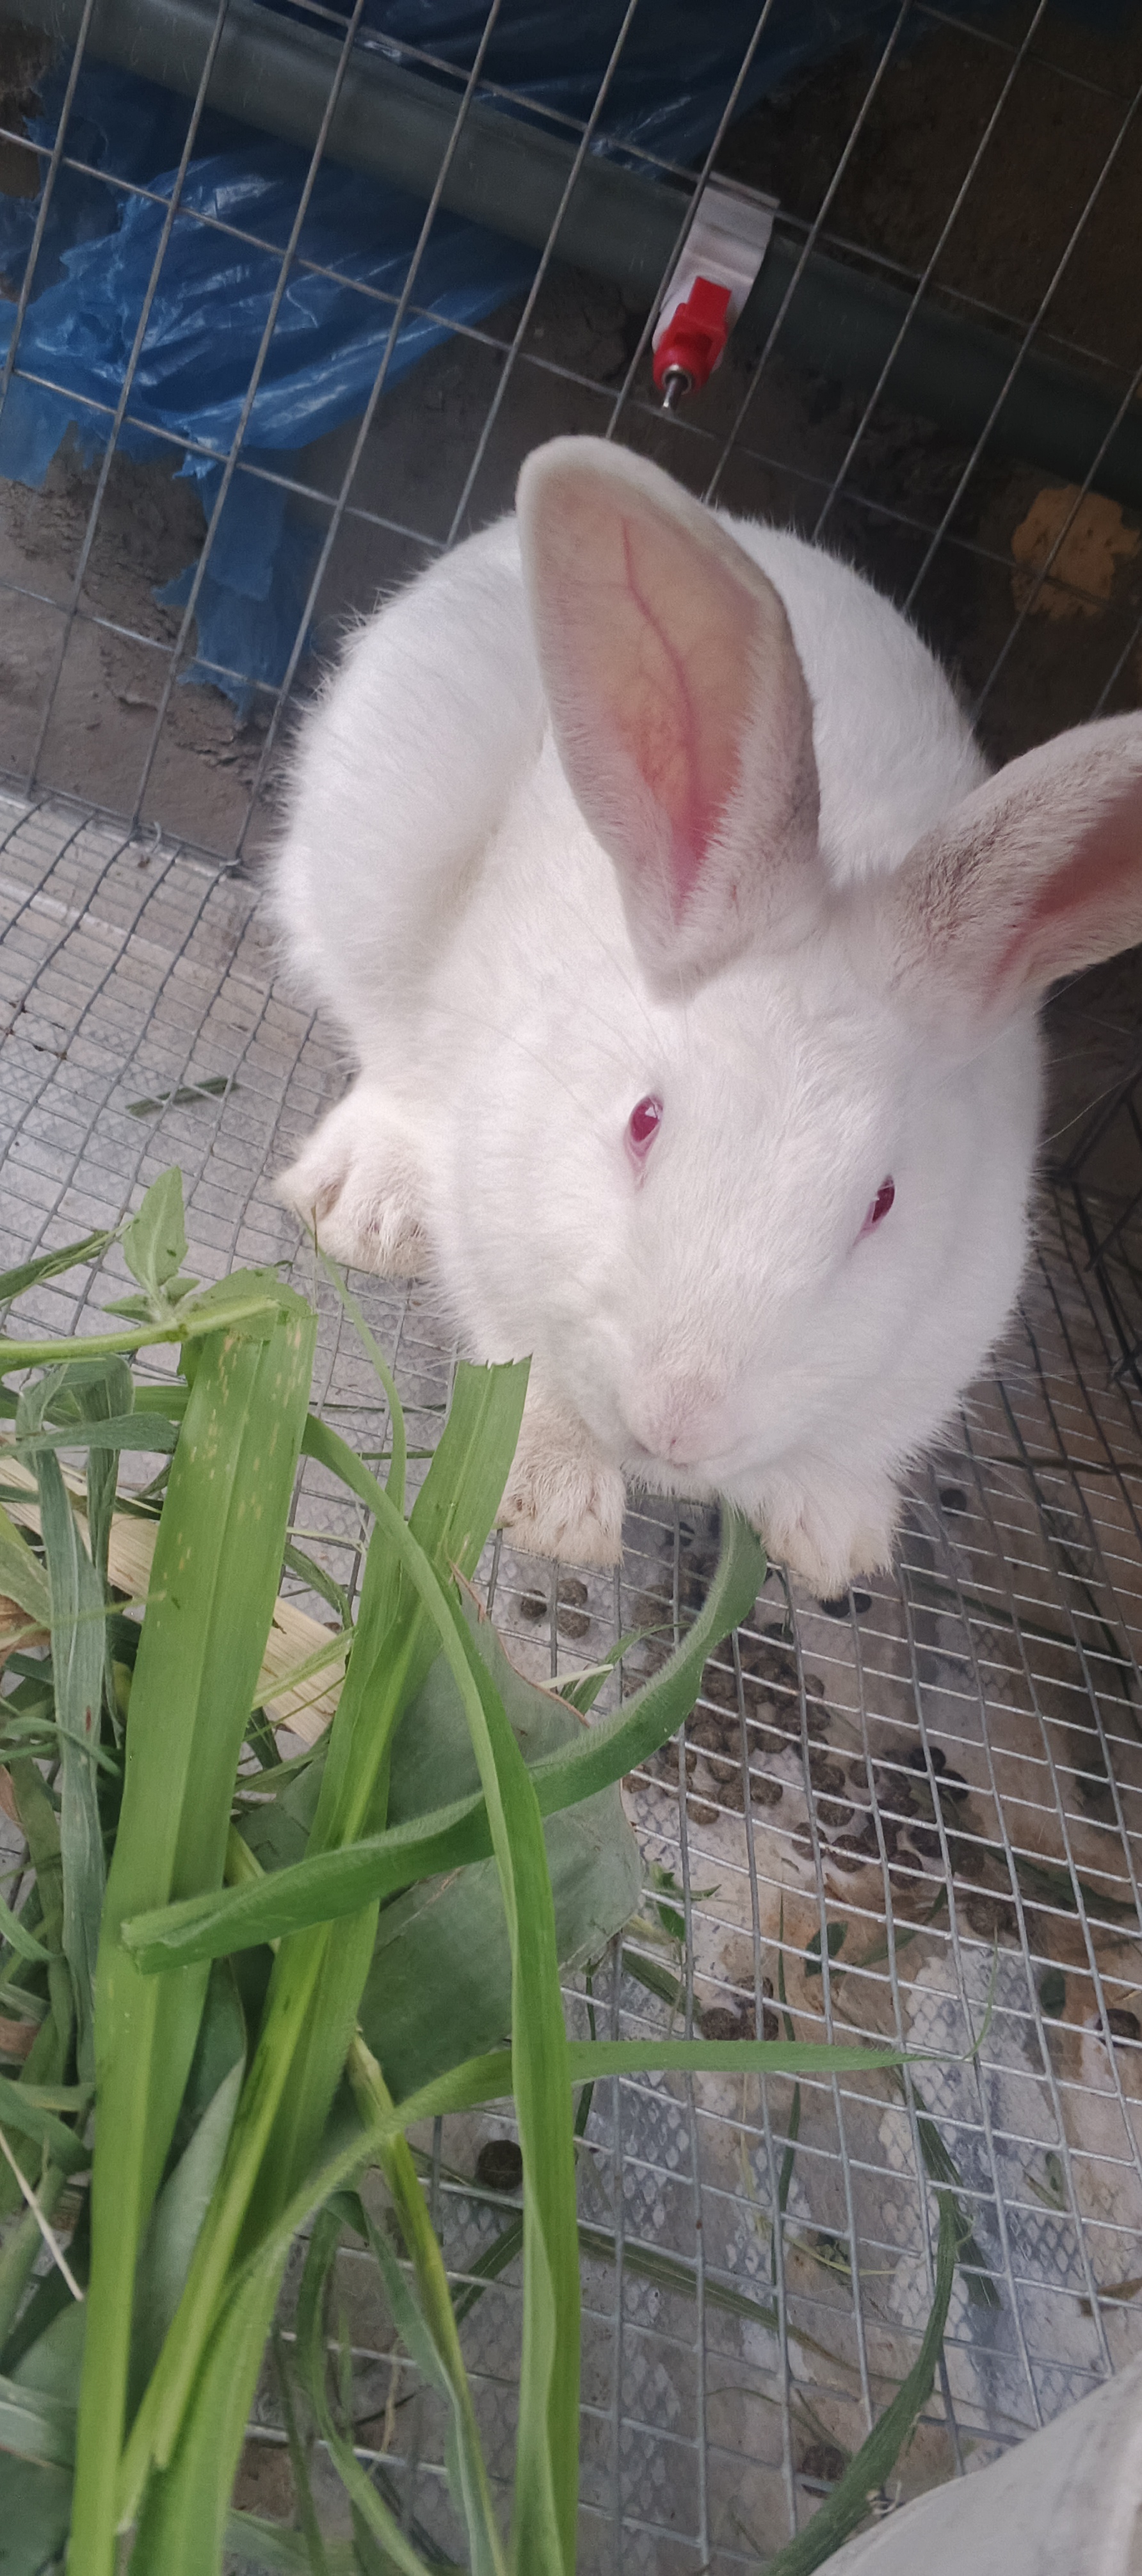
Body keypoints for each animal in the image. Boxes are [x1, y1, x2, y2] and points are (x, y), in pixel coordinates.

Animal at [272, 436, 1142, 1598]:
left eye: (883, 1201)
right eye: (643, 1122)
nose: (679, 1423)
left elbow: (847, 1446)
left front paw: (835, 1539)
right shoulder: (499, 1230)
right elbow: (525, 1369)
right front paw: (557, 1505)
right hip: (376, 844)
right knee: (388, 1046)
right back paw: (367, 1207)